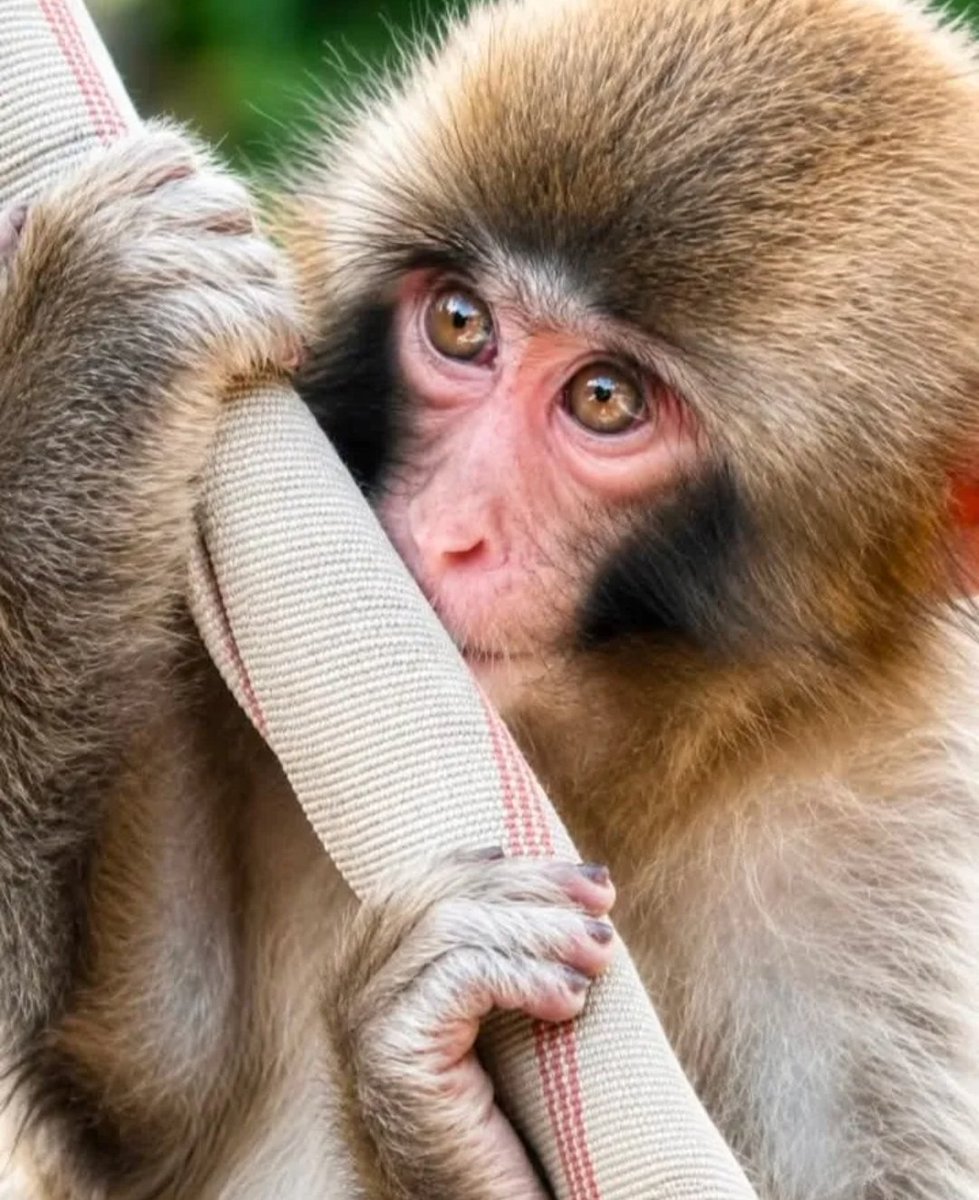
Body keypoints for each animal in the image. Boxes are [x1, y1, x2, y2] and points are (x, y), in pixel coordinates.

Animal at [2, 0, 979, 1197]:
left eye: (604, 399)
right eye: (463, 325)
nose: (444, 531)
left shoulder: (894, 829)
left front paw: (424, 1096)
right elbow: (136, 1091)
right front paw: (98, 343)